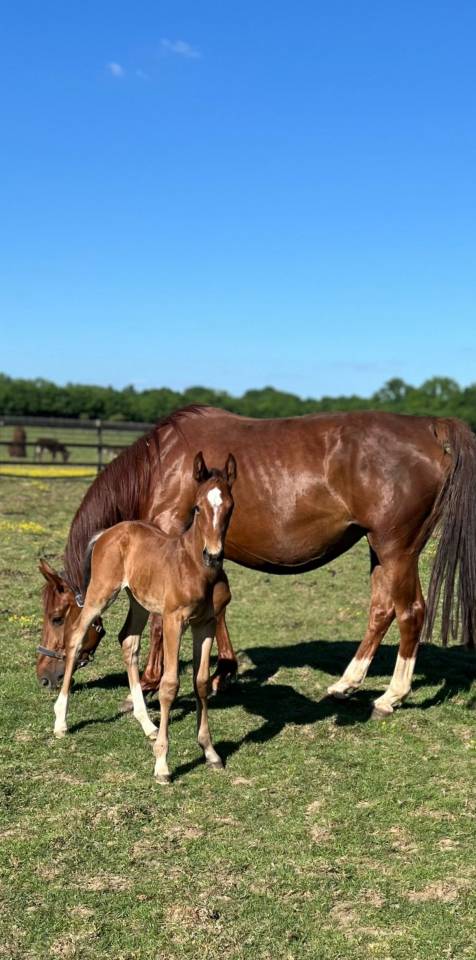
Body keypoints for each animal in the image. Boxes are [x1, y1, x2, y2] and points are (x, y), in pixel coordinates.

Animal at [37, 406, 476, 721]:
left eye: (57, 617)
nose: (44, 676)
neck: (162, 465)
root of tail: (428, 427)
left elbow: (162, 621)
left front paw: (147, 683)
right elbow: (219, 611)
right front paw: (223, 672)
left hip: (396, 549)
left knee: (411, 612)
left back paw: (390, 696)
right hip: (380, 550)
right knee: (382, 610)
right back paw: (346, 684)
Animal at [52, 452, 236, 783]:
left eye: (230, 506)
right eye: (197, 507)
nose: (213, 555)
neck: (196, 568)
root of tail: (108, 532)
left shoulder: (205, 624)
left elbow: (201, 682)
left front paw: (210, 752)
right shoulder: (175, 621)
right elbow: (169, 685)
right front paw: (162, 764)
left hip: (137, 601)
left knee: (128, 640)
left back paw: (147, 724)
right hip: (101, 593)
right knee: (75, 637)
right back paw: (60, 722)